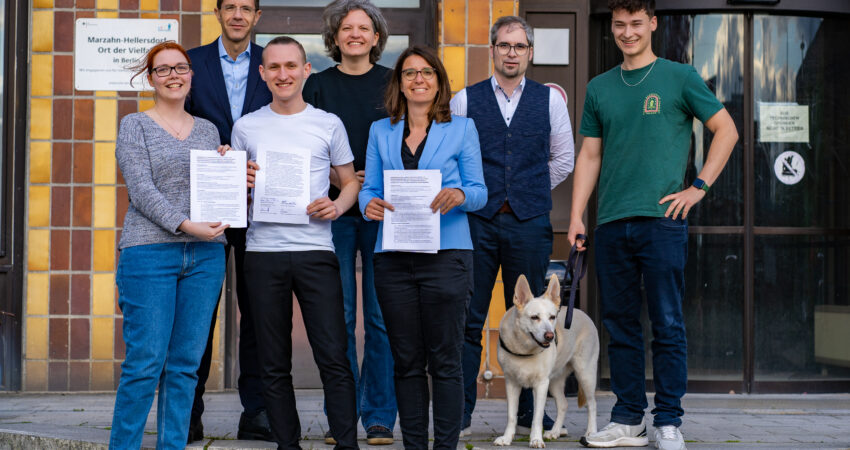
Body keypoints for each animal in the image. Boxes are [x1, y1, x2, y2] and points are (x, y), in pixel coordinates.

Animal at [486, 272, 600, 448]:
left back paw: (591, 432)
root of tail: (582, 312)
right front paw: (506, 438)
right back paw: (554, 432)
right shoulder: (511, 383)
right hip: (554, 381)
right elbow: (511, 415)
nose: (550, 336)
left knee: (592, 404)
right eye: (534, 317)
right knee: (563, 404)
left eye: (552, 317)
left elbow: (537, 417)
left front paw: (535, 439)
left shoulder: (540, 385)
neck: (524, 349)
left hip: (585, 374)